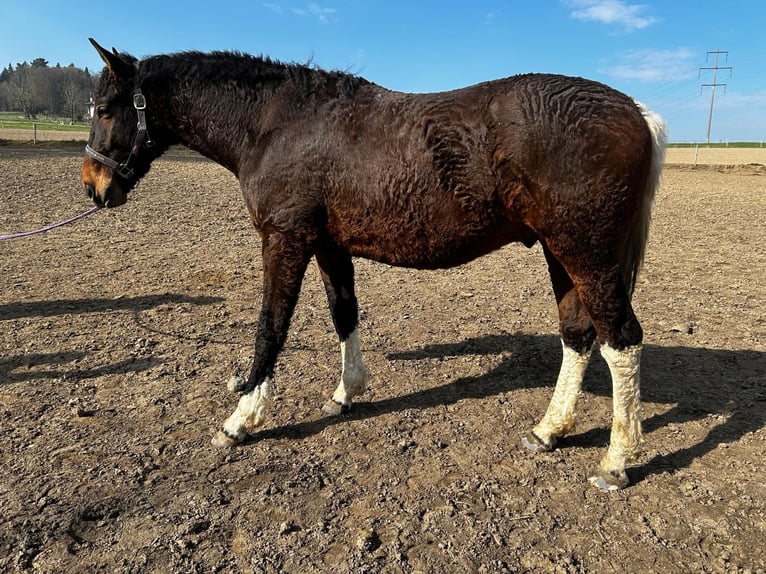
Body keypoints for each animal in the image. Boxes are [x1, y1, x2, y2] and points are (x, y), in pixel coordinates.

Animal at [82, 38, 666, 490]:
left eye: (106, 109)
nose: (93, 187)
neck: (275, 124)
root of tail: (636, 110)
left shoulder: (285, 241)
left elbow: (271, 328)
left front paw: (243, 416)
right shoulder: (328, 246)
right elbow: (344, 313)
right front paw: (346, 392)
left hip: (586, 253)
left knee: (621, 339)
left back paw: (615, 461)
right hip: (559, 252)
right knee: (578, 335)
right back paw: (549, 431)